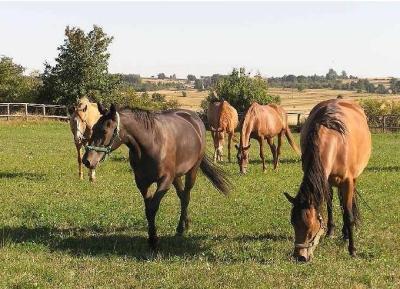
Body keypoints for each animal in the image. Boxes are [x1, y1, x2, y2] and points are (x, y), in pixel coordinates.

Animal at [83, 102, 231, 244]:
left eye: (104, 130)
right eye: (93, 128)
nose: (87, 161)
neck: (151, 143)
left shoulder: (165, 180)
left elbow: (153, 207)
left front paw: (154, 240)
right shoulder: (142, 182)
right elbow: (148, 209)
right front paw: (151, 237)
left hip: (192, 171)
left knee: (186, 196)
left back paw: (181, 228)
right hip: (176, 176)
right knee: (182, 195)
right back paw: (184, 225)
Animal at [284, 98, 372, 260]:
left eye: (310, 227)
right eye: (293, 224)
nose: (299, 256)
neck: (336, 143)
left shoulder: (348, 182)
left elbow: (348, 214)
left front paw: (352, 249)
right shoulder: (323, 180)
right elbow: (329, 204)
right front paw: (331, 231)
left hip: (353, 179)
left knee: (346, 205)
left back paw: (345, 233)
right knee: (332, 201)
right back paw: (333, 231)